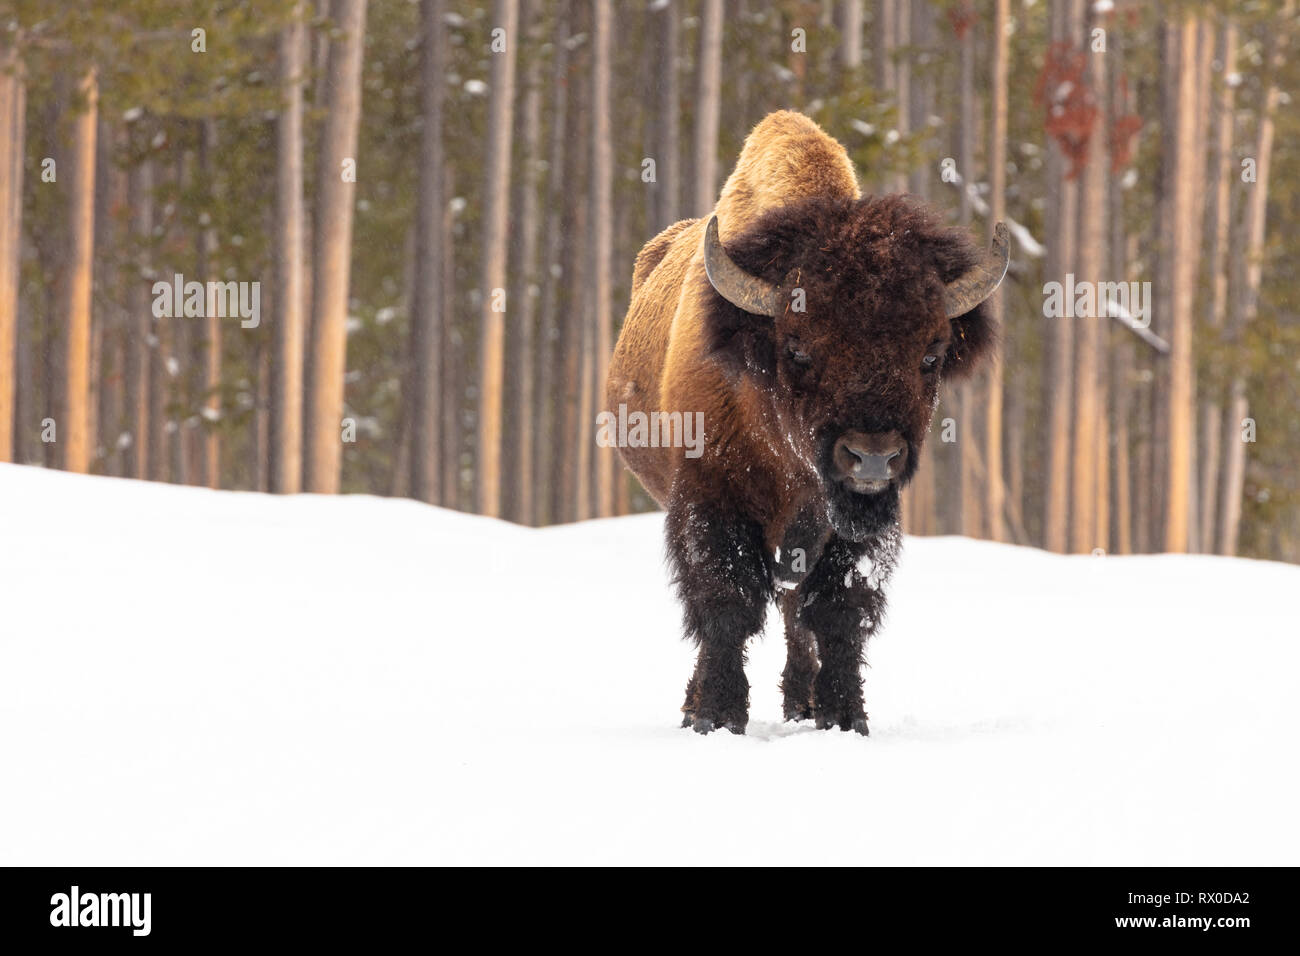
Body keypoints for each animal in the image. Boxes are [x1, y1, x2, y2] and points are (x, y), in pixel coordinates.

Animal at [603, 113, 1008, 738]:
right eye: (797, 348)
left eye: (931, 353)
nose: (872, 456)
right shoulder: (709, 499)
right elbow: (726, 603)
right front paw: (717, 716)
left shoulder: (853, 526)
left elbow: (838, 611)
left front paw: (844, 718)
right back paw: (698, 706)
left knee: (797, 613)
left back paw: (801, 703)